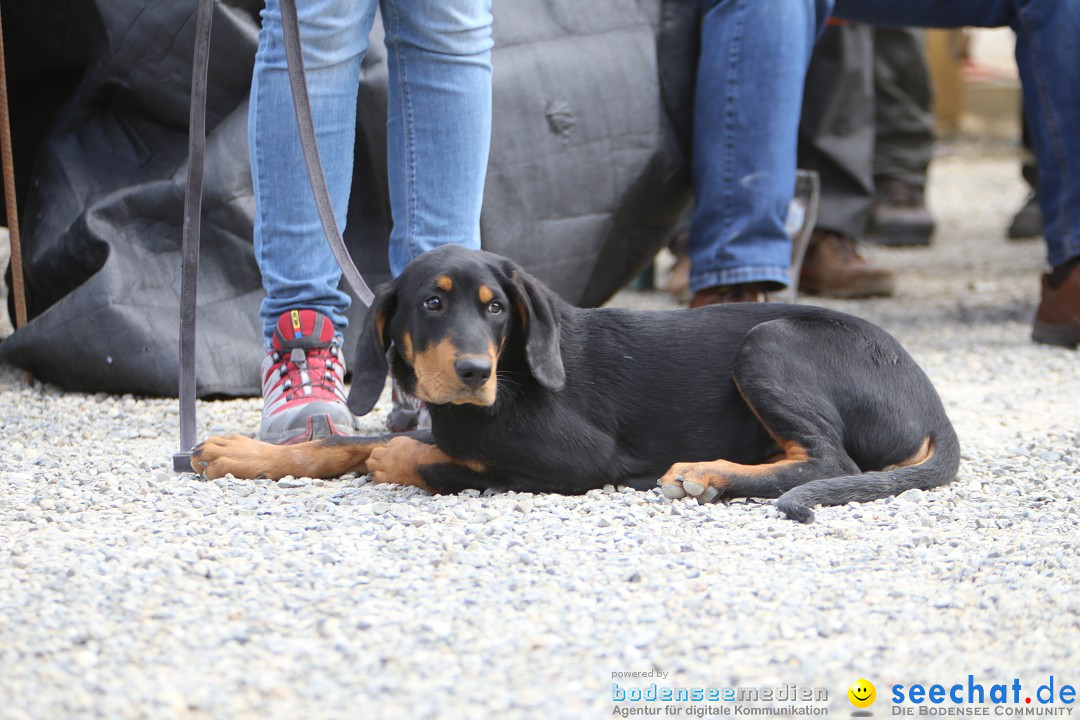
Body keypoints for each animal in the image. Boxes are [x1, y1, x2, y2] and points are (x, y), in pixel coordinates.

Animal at [190, 245, 959, 520]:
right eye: (431, 304)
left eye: (497, 308)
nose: (474, 373)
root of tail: (932, 403)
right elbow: (341, 443)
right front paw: (241, 453)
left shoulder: (577, 459)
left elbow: (436, 456)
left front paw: (400, 455)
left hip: (769, 343)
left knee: (831, 460)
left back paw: (705, 473)